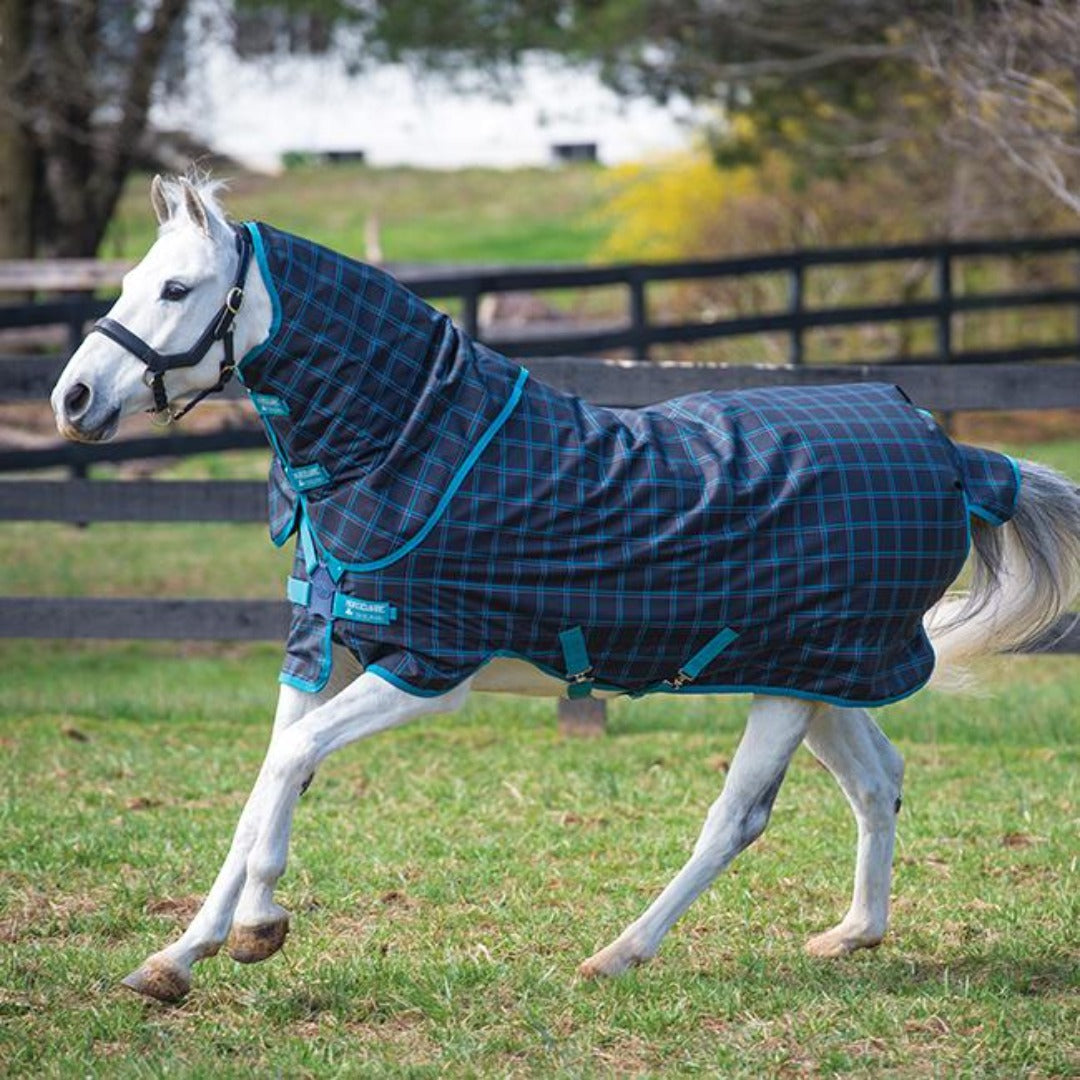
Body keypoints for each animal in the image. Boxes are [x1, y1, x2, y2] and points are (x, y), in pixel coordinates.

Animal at [51, 176, 1080, 1004]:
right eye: (133, 278)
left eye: (177, 289)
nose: (73, 400)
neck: (409, 445)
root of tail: (955, 455)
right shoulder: (326, 648)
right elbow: (269, 779)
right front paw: (176, 960)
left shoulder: (429, 667)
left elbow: (291, 762)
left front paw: (260, 929)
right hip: (819, 677)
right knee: (879, 782)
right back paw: (849, 936)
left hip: (796, 683)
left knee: (738, 819)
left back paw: (618, 954)